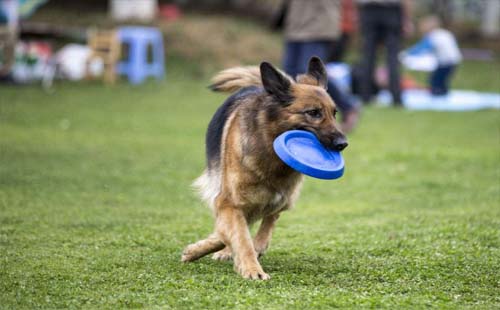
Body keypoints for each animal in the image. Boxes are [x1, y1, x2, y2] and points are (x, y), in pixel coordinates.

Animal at [181, 57, 348, 280]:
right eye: (313, 113)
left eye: (334, 113)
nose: (343, 143)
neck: (270, 150)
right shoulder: (228, 200)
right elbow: (240, 236)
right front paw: (252, 269)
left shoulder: (280, 200)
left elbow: (259, 230)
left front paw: (251, 250)